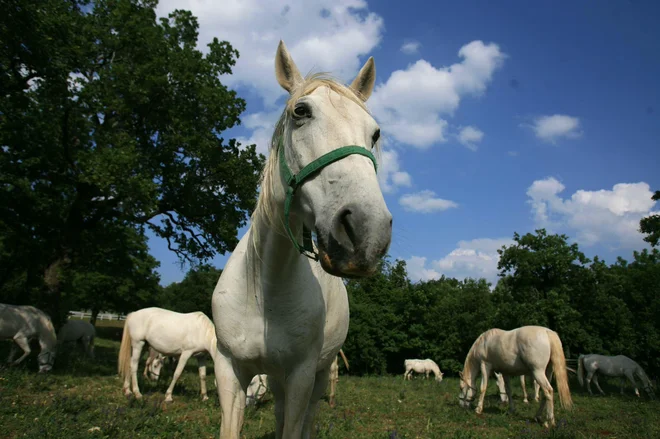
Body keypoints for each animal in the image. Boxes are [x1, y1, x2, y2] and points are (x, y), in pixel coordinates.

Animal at [210, 39, 392, 438]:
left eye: (375, 133)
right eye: (301, 112)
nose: (366, 232)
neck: (265, 291)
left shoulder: (301, 377)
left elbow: (295, 427)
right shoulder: (230, 370)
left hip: (318, 376)